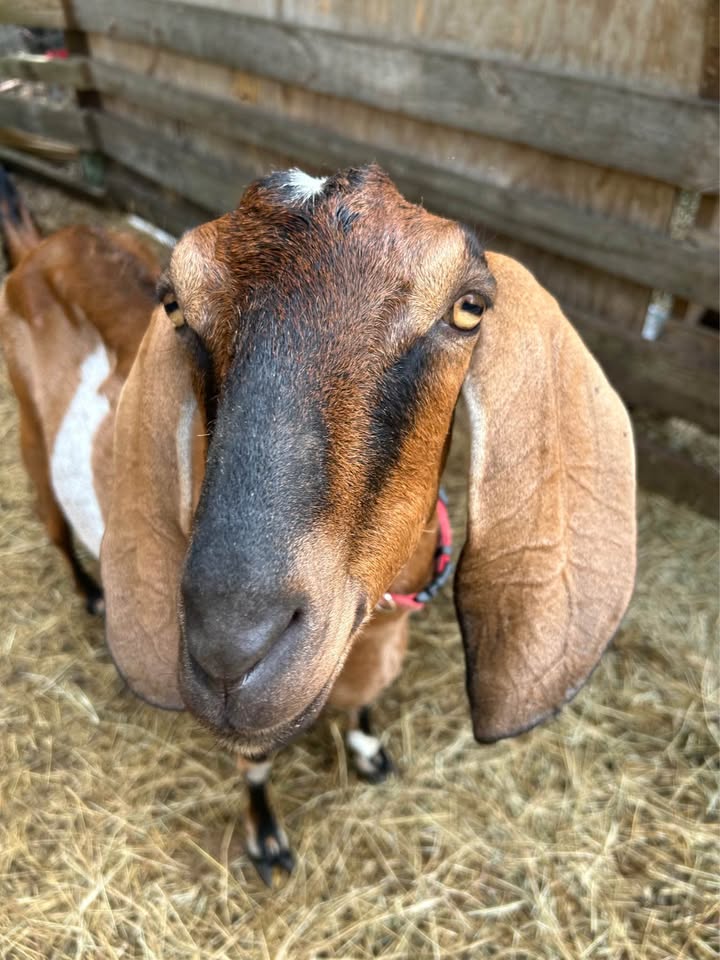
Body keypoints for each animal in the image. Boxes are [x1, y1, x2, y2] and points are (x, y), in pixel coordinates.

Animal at [0, 165, 636, 884]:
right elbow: (255, 765)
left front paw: (368, 750)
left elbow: (362, 709)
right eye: (175, 307)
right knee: (52, 522)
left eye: (469, 308)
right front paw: (267, 842)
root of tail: (39, 246)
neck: (370, 638)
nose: (228, 649)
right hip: (28, 431)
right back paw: (91, 592)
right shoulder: (255, 728)